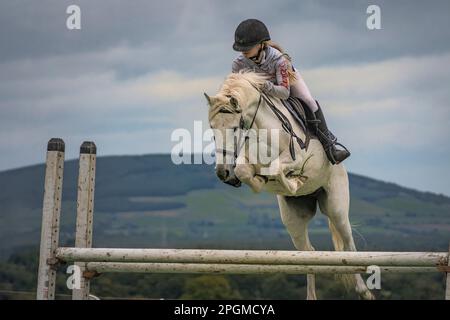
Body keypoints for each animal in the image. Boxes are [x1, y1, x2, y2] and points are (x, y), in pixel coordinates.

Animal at [206, 70, 374, 300]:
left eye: (234, 128)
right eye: (212, 128)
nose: (222, 173)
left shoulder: (298, 156)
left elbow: (278, 168)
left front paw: (294, 182)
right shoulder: (248, 162)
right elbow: (244, 171)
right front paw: (261, 181)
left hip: (336, 207)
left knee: (349, 245)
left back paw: (364, 291)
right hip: (293, 220)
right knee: (308, 253)